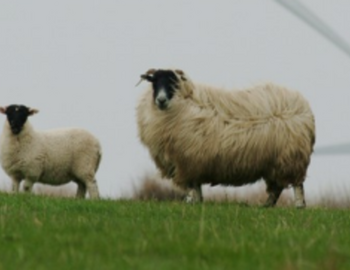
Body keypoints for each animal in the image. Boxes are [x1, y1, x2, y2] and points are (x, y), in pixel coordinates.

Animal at [136, 68, 314, 208]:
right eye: (154, 82)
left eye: (173, 83)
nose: (161, 100)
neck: (183, 104)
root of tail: (304, 106)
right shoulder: (193, 162)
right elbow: (196, 187)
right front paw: (197, 202)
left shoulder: (187, 161)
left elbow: (191, 186)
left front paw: (190, 202)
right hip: (274, 162)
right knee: (276, 188)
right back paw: (266, 206)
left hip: (292, 158)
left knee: (297, 185)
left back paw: (298, 205)